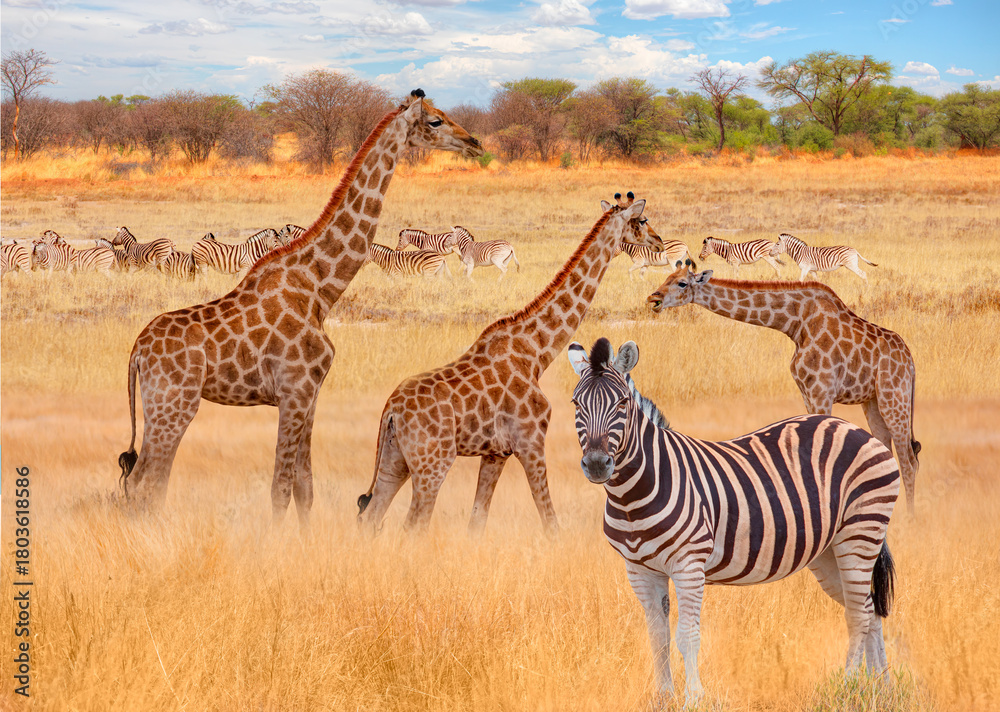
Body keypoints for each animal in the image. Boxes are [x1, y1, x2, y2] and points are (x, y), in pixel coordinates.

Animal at [117, 90, 484, 526]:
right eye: (435, 121)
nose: (474, 143)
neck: (321, 288)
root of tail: (137, 351)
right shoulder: (294, 389)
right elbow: (279, 489)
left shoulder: (311, 394)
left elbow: (304, 488)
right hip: (175, 403)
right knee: (146, 482)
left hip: (160, 404)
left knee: (142, 481)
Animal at [357, 192, 661, 535]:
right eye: (641, 221)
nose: (659, 242)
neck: (537, 352)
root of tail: (391, 409)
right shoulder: (531, 441)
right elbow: (550, 522)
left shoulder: (495, 452)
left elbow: (477, 521)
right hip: (432, 463)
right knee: (413, 526)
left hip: (395, 460)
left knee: (371, 516)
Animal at [567, 337, 899, 703]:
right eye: (576, 403)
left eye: (622, 403)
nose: (597, 464)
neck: (632, 496)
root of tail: (854, 428)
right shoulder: (639, 570)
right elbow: (658, 638)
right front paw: (665, 699)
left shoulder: (688, 564)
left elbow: (686, 636)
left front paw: (693, 699)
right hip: (829, 551)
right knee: (869, 608)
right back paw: (879, 687)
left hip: (861, 530)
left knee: (858, 614)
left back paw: (848, 685)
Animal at [647, 266, 920, 514]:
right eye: (666, 276)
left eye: (682, 283)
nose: (653, 299)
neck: (795, 322)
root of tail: (910, 361)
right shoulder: (807, 392)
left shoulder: (822, 391)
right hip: (872, 401)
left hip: (894, 396)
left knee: (908, 460)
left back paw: (909, 518)